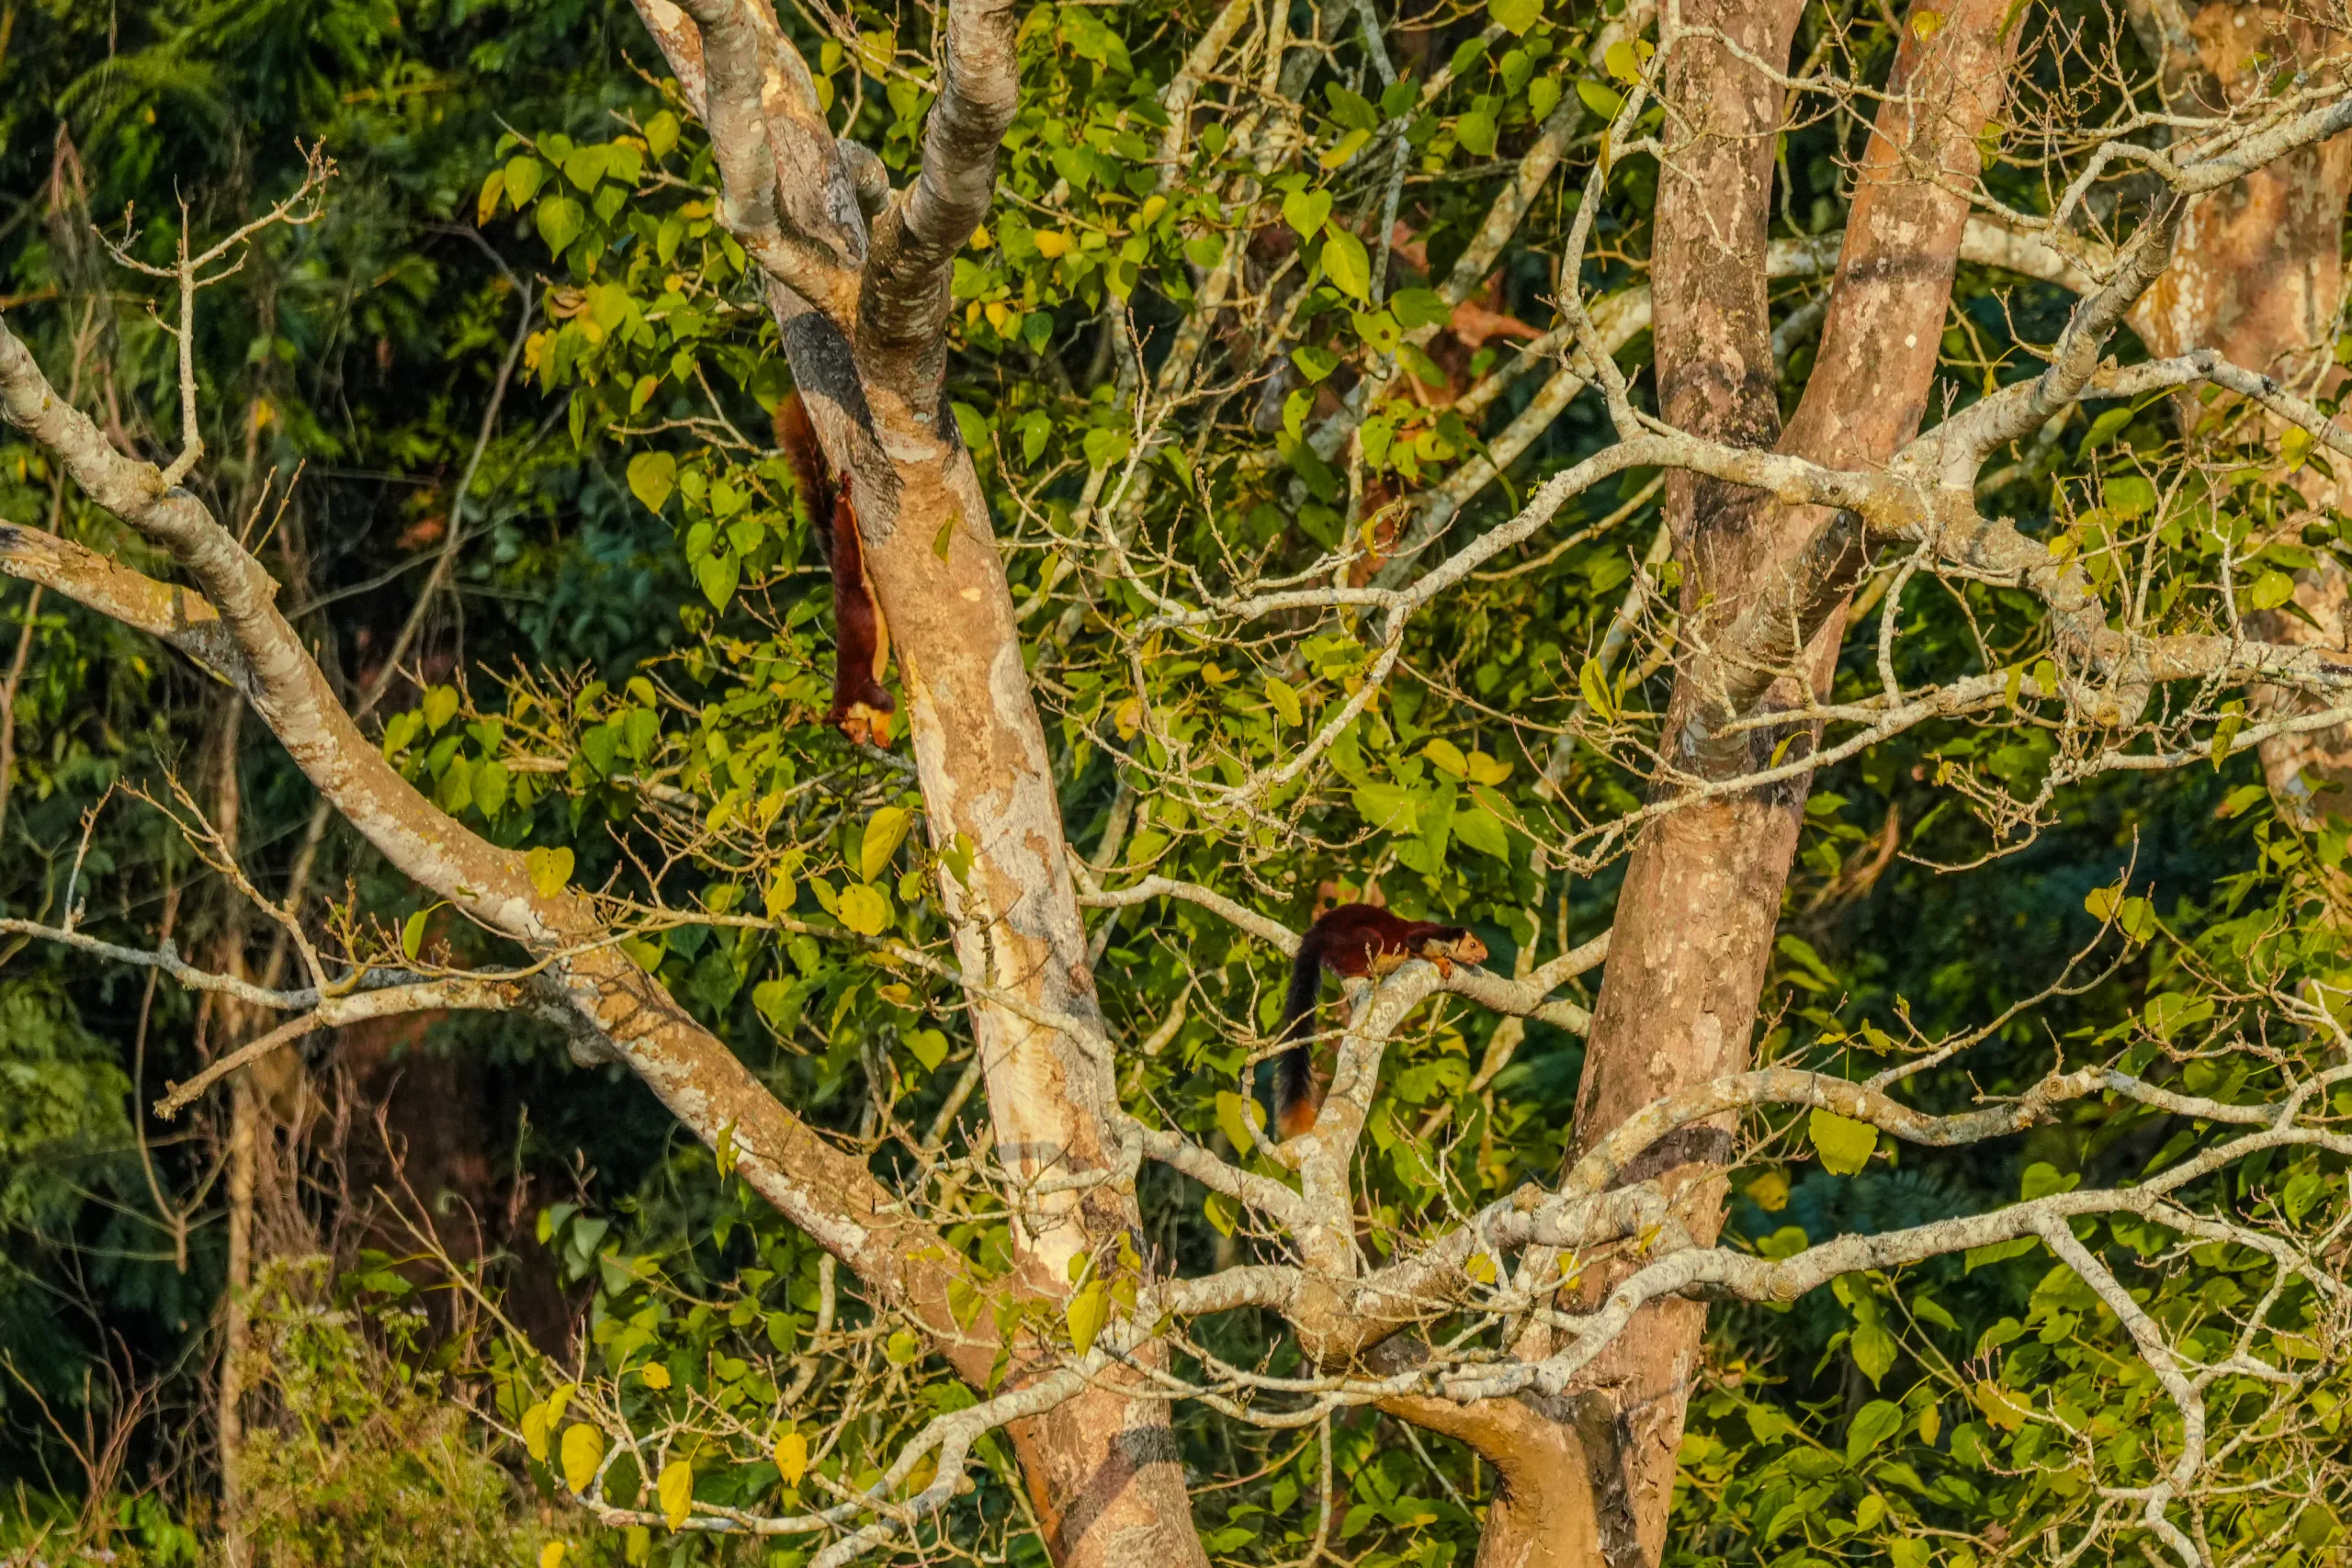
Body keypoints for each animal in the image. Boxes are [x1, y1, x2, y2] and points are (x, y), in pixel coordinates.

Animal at [775, 390, 894, 747]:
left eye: (849, 728)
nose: (857, 741)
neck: (849, 703)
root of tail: (841, 586)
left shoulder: (867, 692)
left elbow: (888, 705)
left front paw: (881, 736)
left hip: (849, 560)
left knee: (846, 531)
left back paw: (844, 494)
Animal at [1273, 903, 1488, 1138]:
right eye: (1473, 944)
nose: (1485, 955)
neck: (1444, 938)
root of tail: (1318, 930)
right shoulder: (1422, 936)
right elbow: (1416, 946)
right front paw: (1442, 962)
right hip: (1362, 939)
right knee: (1345, 960)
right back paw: (1365, 970)